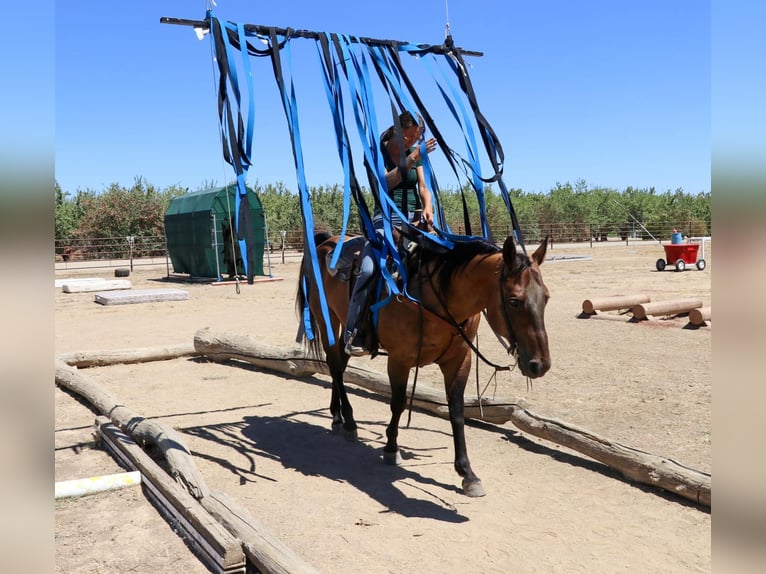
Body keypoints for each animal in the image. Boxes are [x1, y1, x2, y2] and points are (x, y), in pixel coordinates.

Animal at [296, 232, 550, 497]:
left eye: (546, 297)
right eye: (514, 301)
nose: (539, 364)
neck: (438, 298)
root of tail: (325, 242)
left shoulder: (459, 360)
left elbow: (456, 412)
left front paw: (467, 473)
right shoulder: (399, 359)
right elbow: (398, 404)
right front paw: (391, 448)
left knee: (340, 364)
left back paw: (337, 416)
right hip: (327, 319)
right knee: (334, 366)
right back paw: (348, 421)